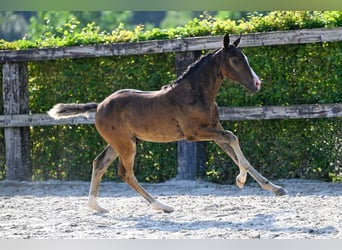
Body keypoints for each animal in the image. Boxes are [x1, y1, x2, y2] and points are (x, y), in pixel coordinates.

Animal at [48, 33, 288, 213]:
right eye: (235, 60)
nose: (257, 83)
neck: (196, 94)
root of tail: (99, 105)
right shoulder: (195, 133)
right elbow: (233, 137)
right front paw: (240, 179)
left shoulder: (214, 129)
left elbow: (235, 151)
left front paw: (276, 188)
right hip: (126, 145)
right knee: (125, 173)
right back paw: (161, 205)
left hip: (120, 143)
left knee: (99, 163)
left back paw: (96, 206)